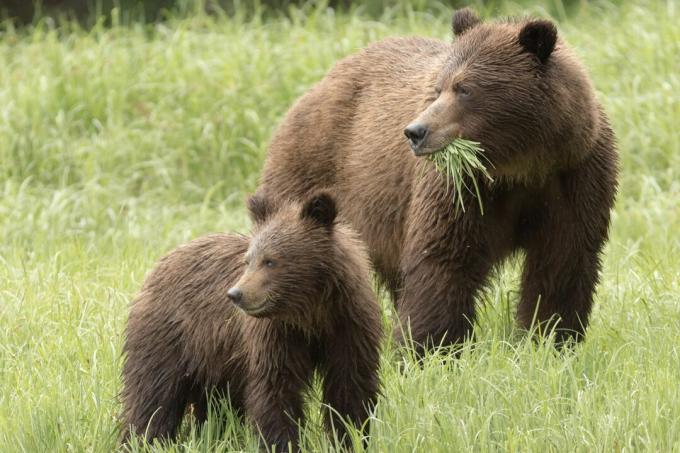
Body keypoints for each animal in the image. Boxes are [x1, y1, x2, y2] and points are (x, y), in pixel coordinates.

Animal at [258, 8, 620, 352]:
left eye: (465, 88)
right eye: (439, 88)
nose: (415, 131)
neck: (519, 167)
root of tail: (317, 85)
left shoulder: (574, 176)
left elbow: (563, 261)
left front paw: (552, 338)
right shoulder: (459, 186)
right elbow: (443, 258)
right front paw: (430, 348)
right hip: (314, 176)